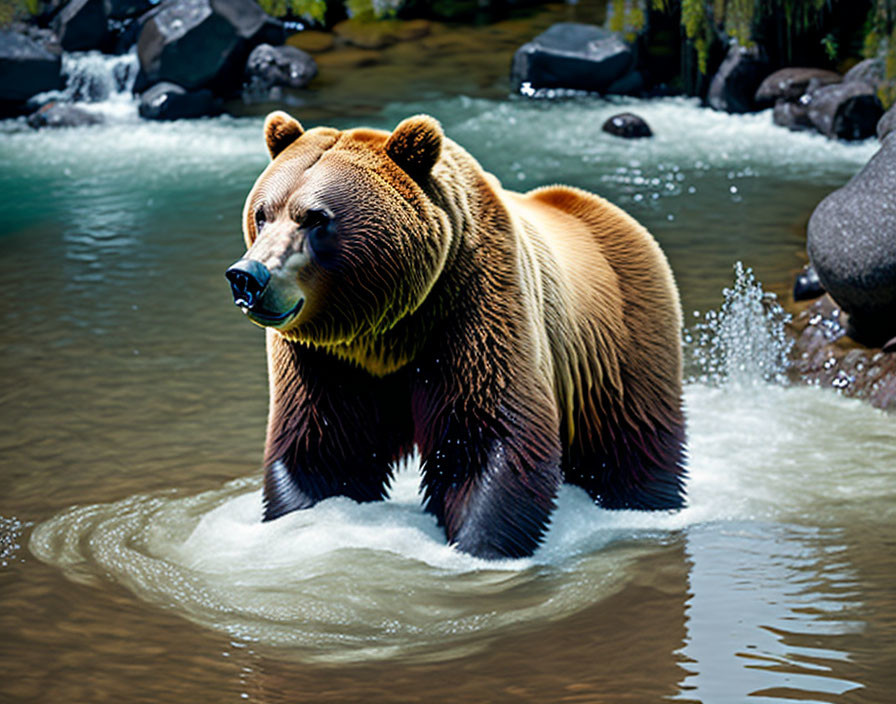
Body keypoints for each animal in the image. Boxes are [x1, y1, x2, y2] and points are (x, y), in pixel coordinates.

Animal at [226, 111, 688, 560]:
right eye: (262, 213)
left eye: (316, 218)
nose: (247, 276)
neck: (387, 328)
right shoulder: (325, 358)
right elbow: (322, 448)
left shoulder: (474, 311)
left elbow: (483, 439)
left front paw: (480, 547)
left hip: (619, 346)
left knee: (633, 443)